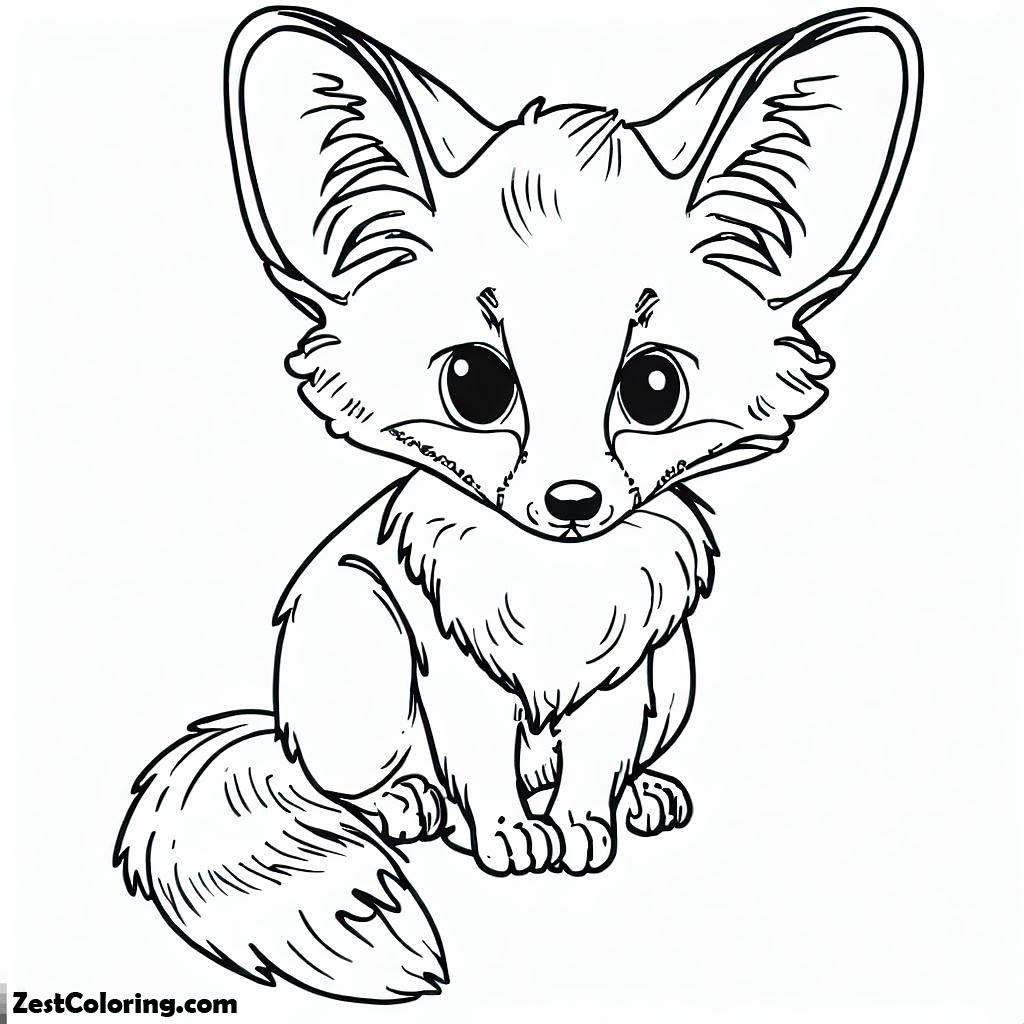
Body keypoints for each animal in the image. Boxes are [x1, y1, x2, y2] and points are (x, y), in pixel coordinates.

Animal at [114, 5, 922, 1004]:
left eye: (654, 389)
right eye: (474, 384)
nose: (572, 501)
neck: (556, 595)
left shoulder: (627, 672)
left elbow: (596, 760)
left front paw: (584, 823)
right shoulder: (453, 672)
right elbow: (479, 767)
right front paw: (503, 836)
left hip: (676, 674)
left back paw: (638, 796)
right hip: (353, 636)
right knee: (352, 782)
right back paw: (412, 804)